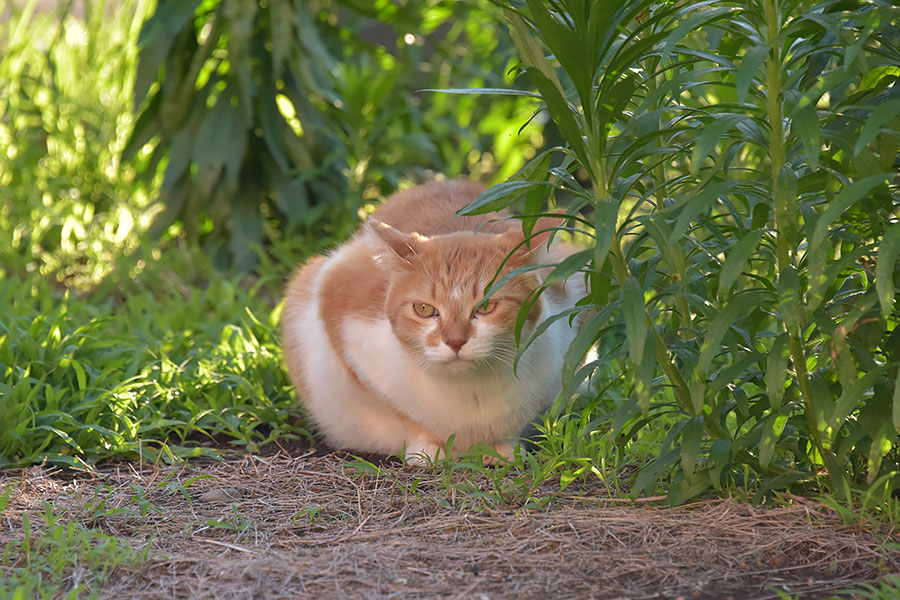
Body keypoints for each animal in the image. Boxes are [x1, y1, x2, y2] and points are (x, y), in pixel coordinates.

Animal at [282, 178, 584, 464]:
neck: (470, 392)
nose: (455, 341)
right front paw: (428, 450)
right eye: (425, 309)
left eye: (486, 306)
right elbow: (406, 414)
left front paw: (505, 450)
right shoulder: (341, 314)